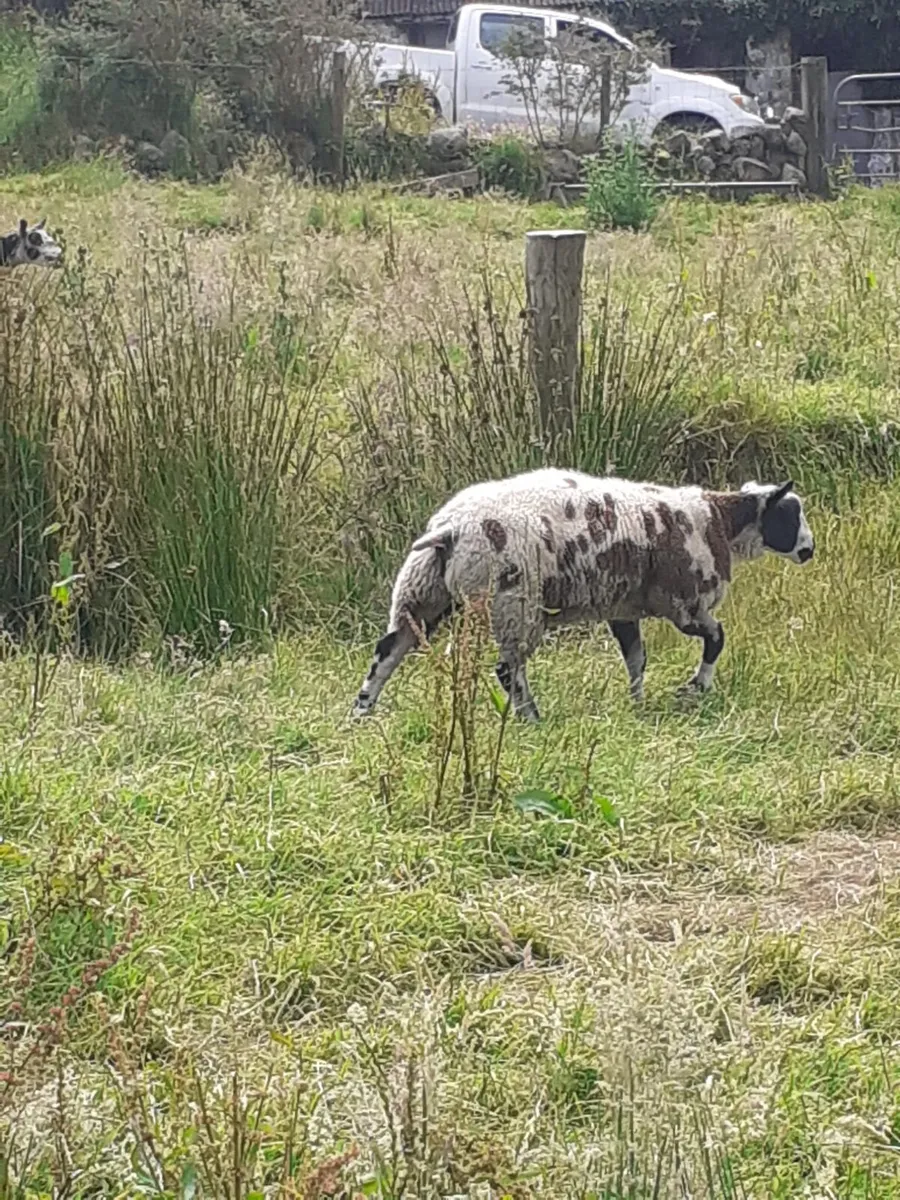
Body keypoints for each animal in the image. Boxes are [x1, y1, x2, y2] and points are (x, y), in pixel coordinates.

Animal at [353, 468, 815, 722]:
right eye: (790, 512)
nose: (809, 550)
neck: (718, 521)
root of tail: (449, 529)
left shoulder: (623, 608)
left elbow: (636, 658)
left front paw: (637, 704)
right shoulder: (685, 604)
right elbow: (717, 639)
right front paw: (696, 687)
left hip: (420, 593)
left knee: (388, 651)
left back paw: (360, 712)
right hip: (513, 603)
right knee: (507, 669)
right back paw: (531, 718)